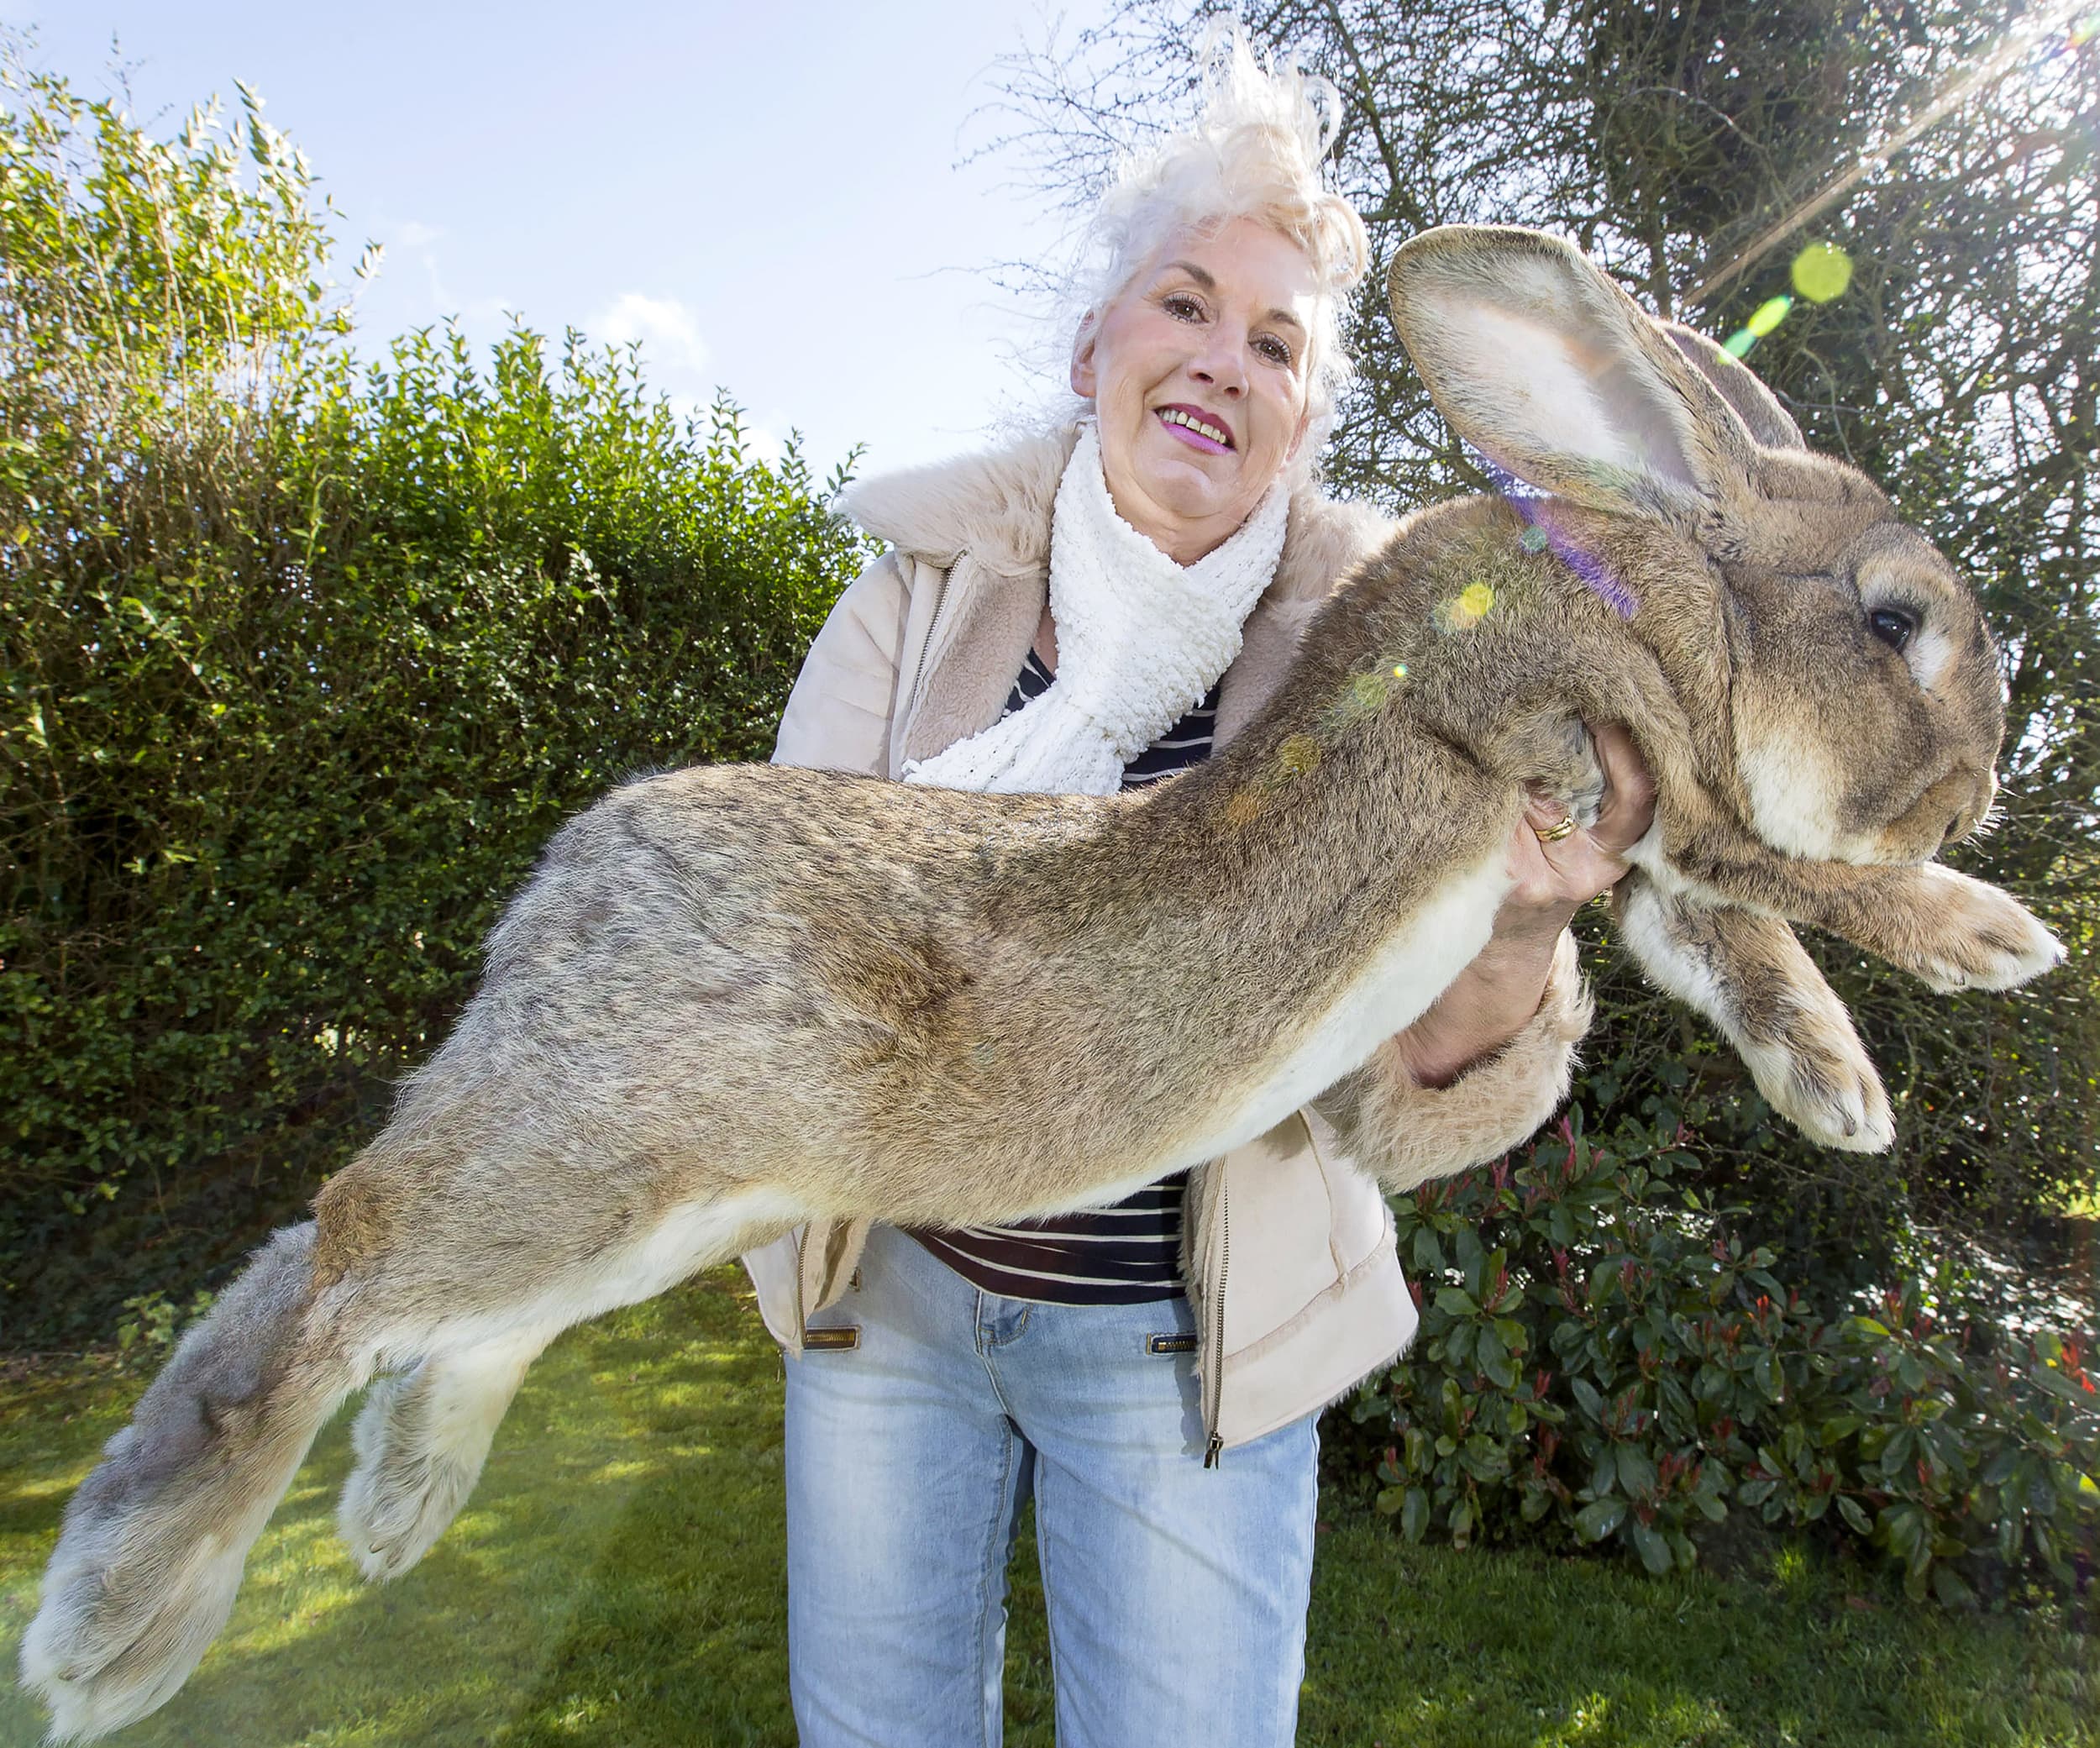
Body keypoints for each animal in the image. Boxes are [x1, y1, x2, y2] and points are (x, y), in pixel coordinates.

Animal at [21, 224, 2060, 1742]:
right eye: (1894, 619)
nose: (1978, 787)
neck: (1652, 577)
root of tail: (560, 898)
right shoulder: (1603, 756)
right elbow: (1783, 871)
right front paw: (1989, 935)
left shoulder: (1634, 851)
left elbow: (1730, 940)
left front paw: (1840, 1090)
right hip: (597, 1151)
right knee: (342, 1253)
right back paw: (121, 1618)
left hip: (654, 1203)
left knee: (404, 1301)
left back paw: (382, 1510)